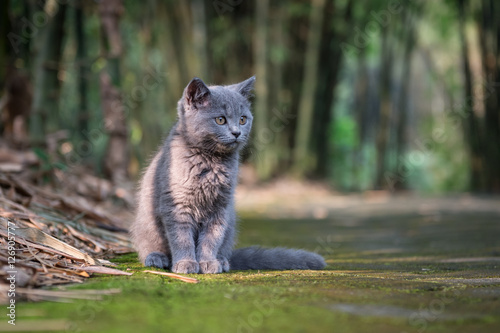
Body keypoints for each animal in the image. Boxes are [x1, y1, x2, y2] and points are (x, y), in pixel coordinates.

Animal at [129, 76, 326, 272]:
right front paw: (186, 263)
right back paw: (156, 257)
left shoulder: (221, 207)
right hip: (146, 223)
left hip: (231, 223)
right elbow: (181, 238)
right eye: (221, 120)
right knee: (147, 246)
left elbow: (211, 238)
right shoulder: (177, 204)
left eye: (243, 119)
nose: (237, 132)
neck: (211, 161)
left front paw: (208, 262)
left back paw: (223, 261)